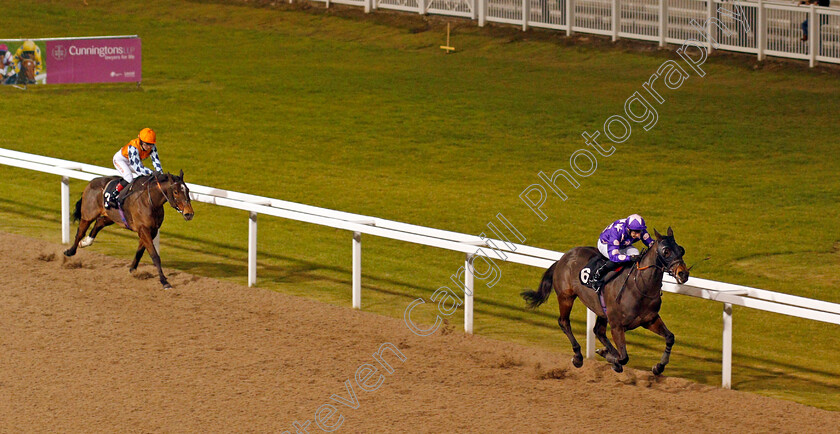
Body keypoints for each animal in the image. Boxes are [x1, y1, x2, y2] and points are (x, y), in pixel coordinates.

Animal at [64, 171, 195, 290]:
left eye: (188, 190)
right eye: (176, 192)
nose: (189, 213)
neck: (150, 201)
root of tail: (92, 181)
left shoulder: (151, 230)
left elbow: (140, 251)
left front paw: (132, 269)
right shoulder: (143, 229)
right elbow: (155, 256)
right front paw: (164, 281)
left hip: (111, 216)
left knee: (99, 222)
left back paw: (86, 242)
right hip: (88, 214)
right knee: (80, 232)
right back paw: (70, 251)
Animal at [520, 229, 692, 374]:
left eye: (681, 249)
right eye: (666, 251)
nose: (683, 274)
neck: (639, 286)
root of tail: (564, 257)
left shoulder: (649, 320)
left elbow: (670, 337)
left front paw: (658, 366)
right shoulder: (617, 325)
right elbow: (624, 357)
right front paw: (611, 358)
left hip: (601, 310)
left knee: (598, 331)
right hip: (566, 297)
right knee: (564, 322)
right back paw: (578, 356)